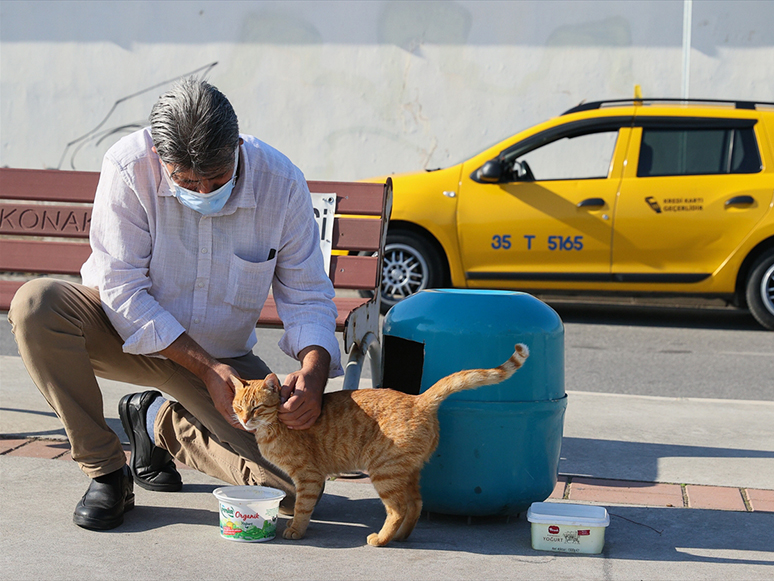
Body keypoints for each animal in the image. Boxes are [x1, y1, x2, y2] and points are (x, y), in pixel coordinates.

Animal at [233, 342, 532, 548]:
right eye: (238, 407)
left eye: (256, 408)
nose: (244, 420)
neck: (273, 427)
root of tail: (419, 399)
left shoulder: (308, 477)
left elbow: (302, 508)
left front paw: (296, 530)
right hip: (405, 472)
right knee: (415, 504)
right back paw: (400, 537)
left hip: (384, 472)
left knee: (398, 509)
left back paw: (381, 539)